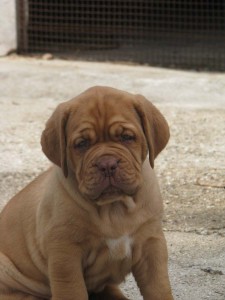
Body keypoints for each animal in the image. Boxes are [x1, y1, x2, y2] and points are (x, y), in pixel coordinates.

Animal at [0, 86, 174, 300]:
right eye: (82, 143)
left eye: (127, 137)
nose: (107, 164)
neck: (114, 208)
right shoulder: (65, 252)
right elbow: (72, 290)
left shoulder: (151, 244)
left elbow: (159, 287)